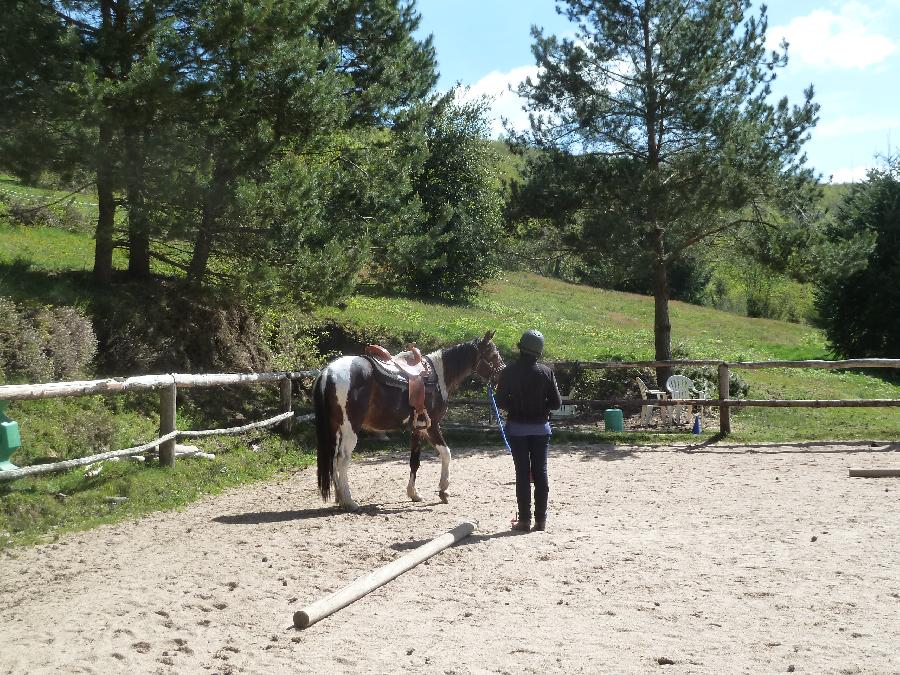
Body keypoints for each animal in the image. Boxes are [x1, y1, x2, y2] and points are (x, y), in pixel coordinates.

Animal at [312, 330, 502, 510]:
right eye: (493, 354)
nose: (502, 373)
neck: (439, 375)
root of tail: (328, 373)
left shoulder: (417, 428)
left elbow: (414, 461)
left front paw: (414, 494)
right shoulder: (432, 425)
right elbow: (446, 453)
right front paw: (443, 490)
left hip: (335, 429)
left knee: (333, 459)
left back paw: (339, 498)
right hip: (350, 429)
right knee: (342, 459)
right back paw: (349, 501)